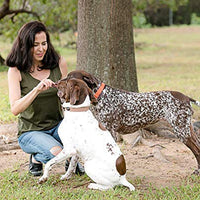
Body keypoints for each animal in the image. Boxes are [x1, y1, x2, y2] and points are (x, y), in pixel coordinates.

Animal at [66, 69, 200, 174]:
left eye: (70, 78)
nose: (60, 82)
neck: (101, 96)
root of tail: (186, 98)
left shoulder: (110, 132)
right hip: (187, 130)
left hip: (182, 132)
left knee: (197, 151)